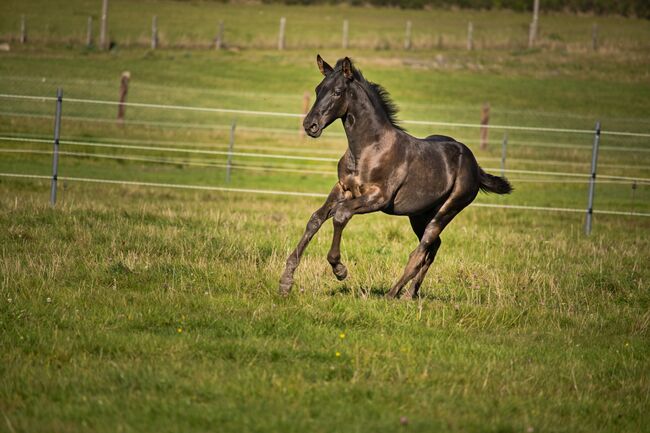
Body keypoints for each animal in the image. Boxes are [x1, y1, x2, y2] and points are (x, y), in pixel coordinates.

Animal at [280, 55, 512, 298]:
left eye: (337, 92)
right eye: (318, 89)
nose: (310, 125)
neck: (369, 149)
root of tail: (475, 166)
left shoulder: (378, 198)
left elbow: (341, 215)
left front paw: (339, 269)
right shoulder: (342, 188)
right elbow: (316, 219)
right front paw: (286, 281)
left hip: (447, 210)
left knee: (422, 249)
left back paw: (393, 294)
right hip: (419, 214)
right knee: (433, 248)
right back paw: (410, 294)